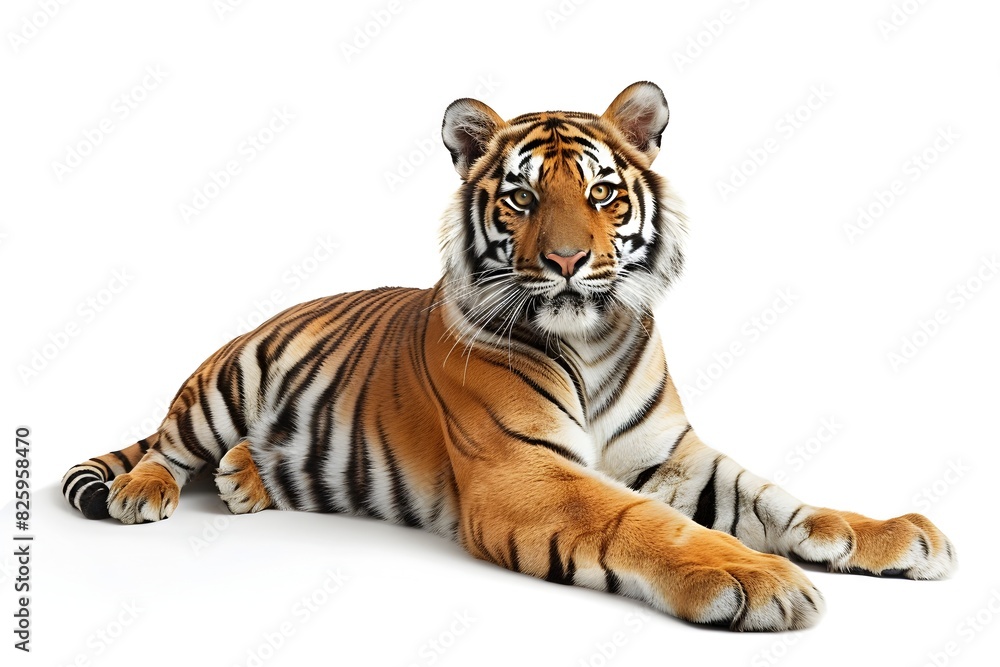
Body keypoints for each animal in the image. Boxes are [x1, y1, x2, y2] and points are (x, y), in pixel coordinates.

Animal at [61, 81, 955, 631]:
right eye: (522, 197)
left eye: (601, 192)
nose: (565, 260)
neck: (591, 342)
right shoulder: (525, 469)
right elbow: (643, 521)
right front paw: (757, 578)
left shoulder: (671, 453)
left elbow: (775, 497)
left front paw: (887, 533)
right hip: (223, 381)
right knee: (169, 445)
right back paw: (145, 491)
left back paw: (245, 478)